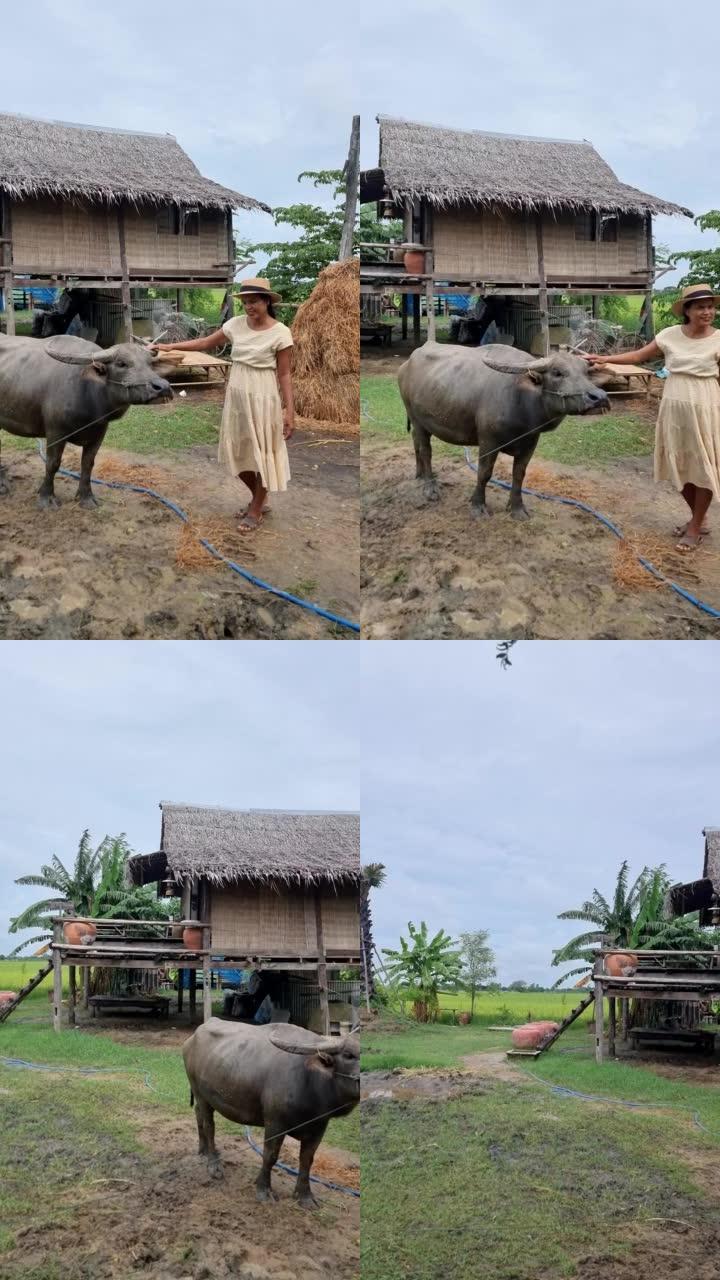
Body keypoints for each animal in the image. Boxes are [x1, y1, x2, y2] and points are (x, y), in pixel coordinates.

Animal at [0, 335, 172, 509]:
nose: (163, 387)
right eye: (121, 363)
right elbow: (52, 464)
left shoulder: (99, 433)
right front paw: (46, 497)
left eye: (150, 363)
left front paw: (86, 497)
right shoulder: (56, 432)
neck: (89, 393)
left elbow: (88, 464)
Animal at [180, 1018, 356, 1208]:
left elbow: (307, 1160)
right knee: (209, 1126)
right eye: (349, 1055)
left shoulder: (319, 1127)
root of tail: (193, 1037)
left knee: (198, 1116)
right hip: (202, 1095)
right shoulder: (275, 1123)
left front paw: (305, 1196)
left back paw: (203, 1151)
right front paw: (263, 1190)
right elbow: (270, 1156)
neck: (310, 1079)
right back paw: (214, 1165)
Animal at [397, 345, 604, 519]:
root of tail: (406, 365)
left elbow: (519, 474)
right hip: (417, 420)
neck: (522, 400)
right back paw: (430, 487)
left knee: (416, 443)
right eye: (557, 372)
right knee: (426, 450)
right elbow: (484, 473)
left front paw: (517, 508)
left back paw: (420, 475)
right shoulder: (488, 442)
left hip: (420, 423)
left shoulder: (530, 443)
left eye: (586, 373)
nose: (599, 397)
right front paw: (478, 506)